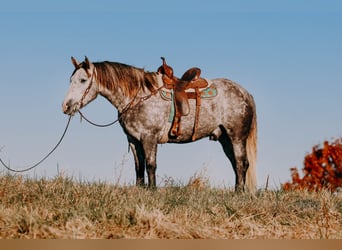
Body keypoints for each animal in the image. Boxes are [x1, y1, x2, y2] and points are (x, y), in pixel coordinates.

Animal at [62, 56, 258, 192]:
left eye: (83, 80)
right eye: (71, 80)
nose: (66, 106)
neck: (139, 96)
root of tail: (245, 93)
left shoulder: (149, 137)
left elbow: (150, 164)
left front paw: (153, 190)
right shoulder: (133, 139)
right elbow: (139, 165)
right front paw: (140, 188)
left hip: (236, 137)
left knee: (241, 163)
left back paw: (238, 193)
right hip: (225, 139)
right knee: (236, 164)